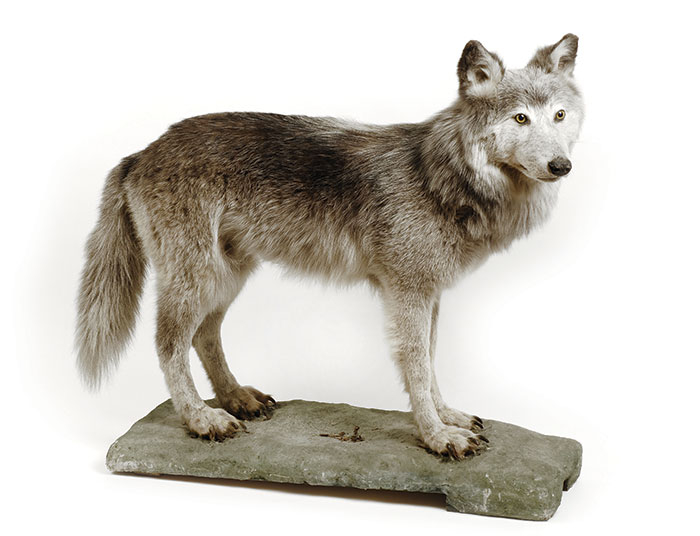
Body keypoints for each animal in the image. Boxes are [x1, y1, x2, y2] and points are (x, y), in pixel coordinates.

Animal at [76, 34, 583, 459]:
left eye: (559, 115)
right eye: (520, 118)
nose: (562, 166)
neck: (444, 178)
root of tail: (140, 153)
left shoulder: (430, 294)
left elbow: (431, 363)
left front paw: (448, 417)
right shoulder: (409, 294)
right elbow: (417, 369)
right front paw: (437, 437)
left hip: (228, 276)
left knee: (204, 335)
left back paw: (235, 398)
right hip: (198, 279)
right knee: (168, 344)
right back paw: (202, 419)